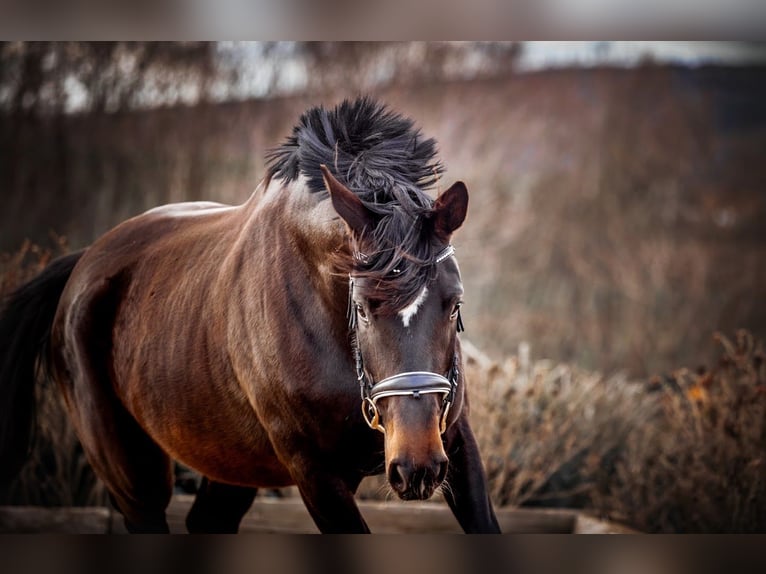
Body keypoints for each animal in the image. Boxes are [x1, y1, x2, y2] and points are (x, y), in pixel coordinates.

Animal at [0, 99, 500, 536]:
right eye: (360, 308)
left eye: (454, 304)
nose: (417, 467)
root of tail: (83, 265)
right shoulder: (315, 472)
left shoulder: (455, 441)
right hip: (133, 475)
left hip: (233, 462)